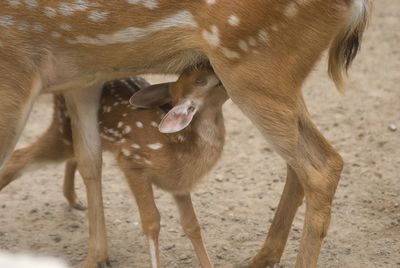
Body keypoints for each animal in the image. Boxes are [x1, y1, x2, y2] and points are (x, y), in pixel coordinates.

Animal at [0, 0, 368, 268]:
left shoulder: (17, 66)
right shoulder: (82, 74)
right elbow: (90, 160)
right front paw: (96, 258)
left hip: (255, 66)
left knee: (321, 166)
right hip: (275, 75)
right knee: (304, 163)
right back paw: (261, 258)